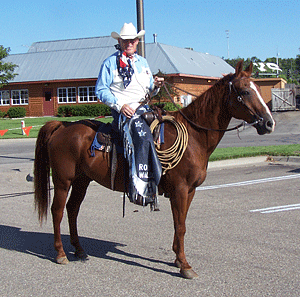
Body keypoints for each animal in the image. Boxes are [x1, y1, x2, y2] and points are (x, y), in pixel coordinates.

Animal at [34, 60, 274, 278]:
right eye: (245, 91)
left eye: (257, 88)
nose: (269, 123)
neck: (195, 136)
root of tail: (61, 127)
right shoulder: (179, 189)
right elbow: (180, 225)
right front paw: (185, 265)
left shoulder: (190, 191)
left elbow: (181, 223)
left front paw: (177, 258)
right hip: (63, 180)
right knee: (57, 211)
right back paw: (60, 253)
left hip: (82, 180)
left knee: (72, 209)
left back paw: (79, 250)